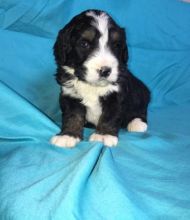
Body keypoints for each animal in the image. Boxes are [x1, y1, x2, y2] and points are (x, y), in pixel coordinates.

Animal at [50, 9, 150, 148]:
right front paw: (68, 135)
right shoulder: (70, 95)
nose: (105, 70)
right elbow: (72, 116)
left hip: (140, 94)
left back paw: (137, 123)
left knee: (141, 110)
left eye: (116, 45)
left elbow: (110, 116)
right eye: (84, 44)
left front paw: (103, 135)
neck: (92, 86)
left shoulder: (116, 96)